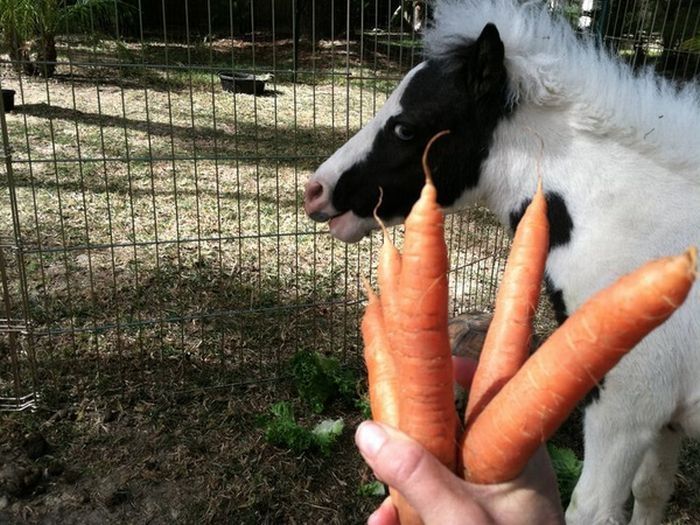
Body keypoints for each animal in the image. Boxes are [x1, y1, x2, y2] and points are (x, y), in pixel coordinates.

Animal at [304, 1, 700, 524]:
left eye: (407, 127)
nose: (315, 190)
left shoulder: (626, 411)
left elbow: (592, 509)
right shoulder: (664, 420)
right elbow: (653, 491)